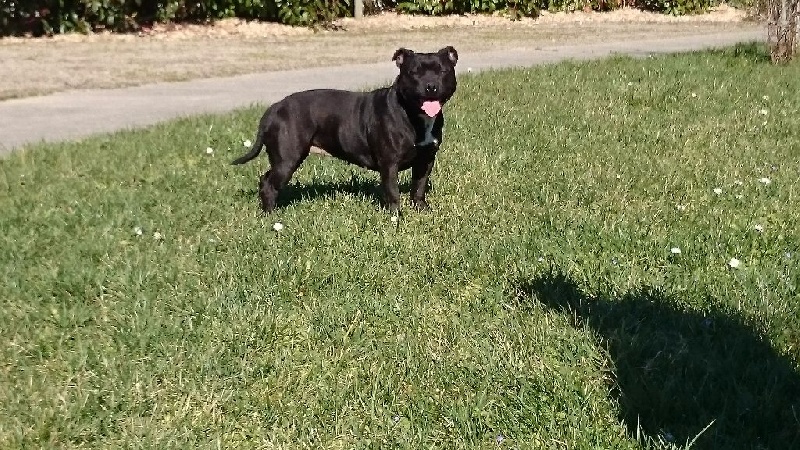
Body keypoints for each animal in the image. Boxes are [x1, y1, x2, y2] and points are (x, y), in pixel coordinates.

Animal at [230, 45, 456, 213]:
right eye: (414, 72)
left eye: (443, 71)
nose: (431, 86)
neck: (413, 114)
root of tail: (275, 107)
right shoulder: (389, 163)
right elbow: (393, 192)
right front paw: (395, 217)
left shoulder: (426, 160)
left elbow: (419, 186)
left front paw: (422, 210)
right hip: (287, 159)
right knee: (270, 183)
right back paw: (271, 215)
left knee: (265, 179)